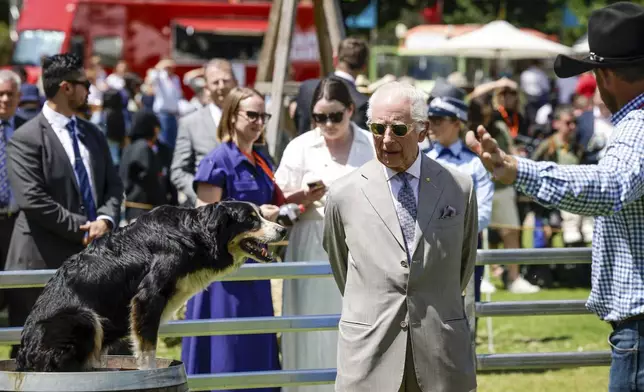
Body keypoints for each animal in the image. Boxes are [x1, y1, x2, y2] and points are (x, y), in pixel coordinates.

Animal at [15, 201, 286, 372]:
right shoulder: (148, 296)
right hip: (83, 317)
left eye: (261, 215)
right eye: (251, 220)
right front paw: (150, 372)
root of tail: (24, 353)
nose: (283, 229)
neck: (195, 235)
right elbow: (147, 347)